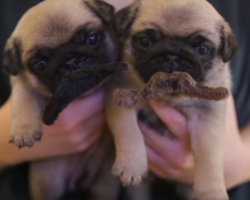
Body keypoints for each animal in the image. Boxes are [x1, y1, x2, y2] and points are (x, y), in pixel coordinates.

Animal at [1, 0, 148, 200]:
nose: (71, 61)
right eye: (40, 64)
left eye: (92, 39)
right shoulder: (20, 80)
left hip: (103, 185)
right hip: (48, 181)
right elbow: (23, 97)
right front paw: (24, 129)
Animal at [114, 0, 237, 200]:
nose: (172, 55)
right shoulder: (120, 97)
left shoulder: (207, 119)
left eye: (202, 49)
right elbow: (128, 130)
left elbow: (209, 157)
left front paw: (211, 192)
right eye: (145, 41)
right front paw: (131, 165)